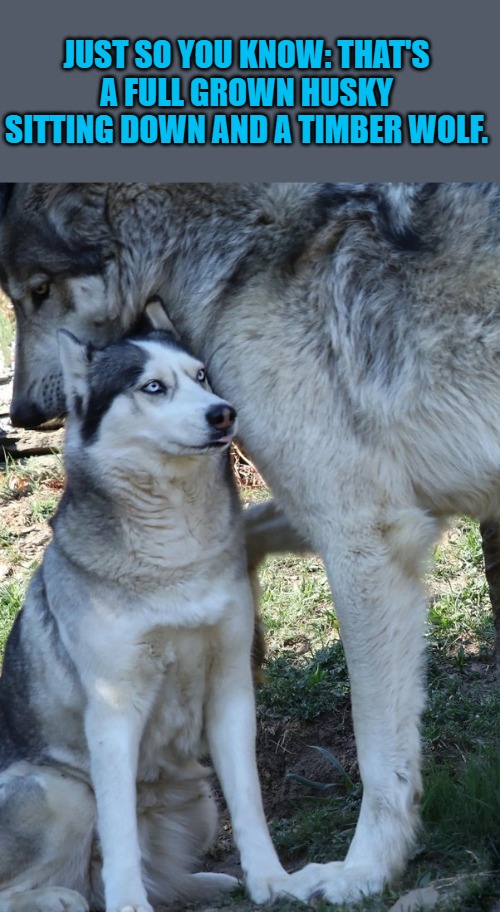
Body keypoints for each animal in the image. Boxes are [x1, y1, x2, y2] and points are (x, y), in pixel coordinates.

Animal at [0, 314, 302, 912]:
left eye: (202, 376)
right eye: (153, 387)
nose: (223, 411)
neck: (174, 555)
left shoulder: (231, 687)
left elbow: (250, 800)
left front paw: (271, 880)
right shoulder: (114, 709)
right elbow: (119, 832)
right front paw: (128, 905)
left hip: (200, 804)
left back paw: (202, 883)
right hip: (62, 791)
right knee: (44, 882)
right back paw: (60, 898)